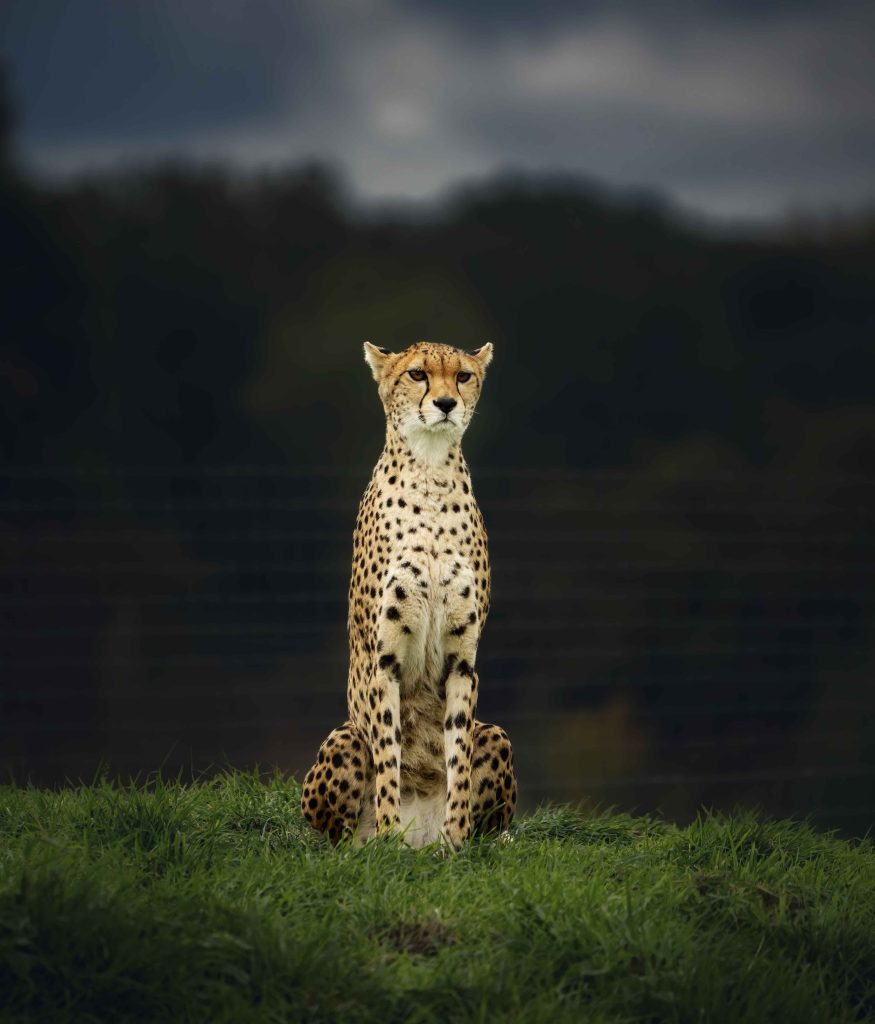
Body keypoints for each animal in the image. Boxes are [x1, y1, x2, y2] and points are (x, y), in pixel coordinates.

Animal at [300, 340, 517, 849]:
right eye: (417, 374)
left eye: (462, 376)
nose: (446, 403)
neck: (430, 475)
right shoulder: (385, 659)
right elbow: (388, 756)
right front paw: (388, 838)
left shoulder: (463, 661)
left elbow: (457, 758)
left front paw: (454, 842)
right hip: (343, 739)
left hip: (497, 734)